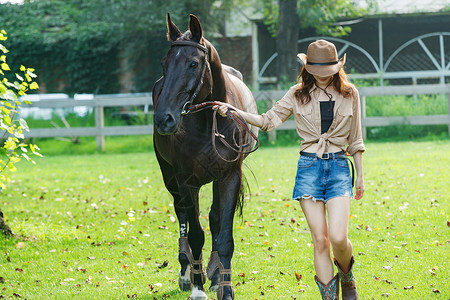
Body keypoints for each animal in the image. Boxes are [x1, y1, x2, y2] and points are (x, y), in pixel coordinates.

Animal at [154, 14, 258, 300]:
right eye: (164, 64)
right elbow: (195, 235)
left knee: (213, 218)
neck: (209, 121)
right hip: (170, 178)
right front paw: (198, 288)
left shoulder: (229, 177)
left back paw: (213, 273)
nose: (163, 119)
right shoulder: (185, 180)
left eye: (193, 63)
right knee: (182, 215)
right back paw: (186, 271)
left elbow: (223, 234)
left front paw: (224, 286)